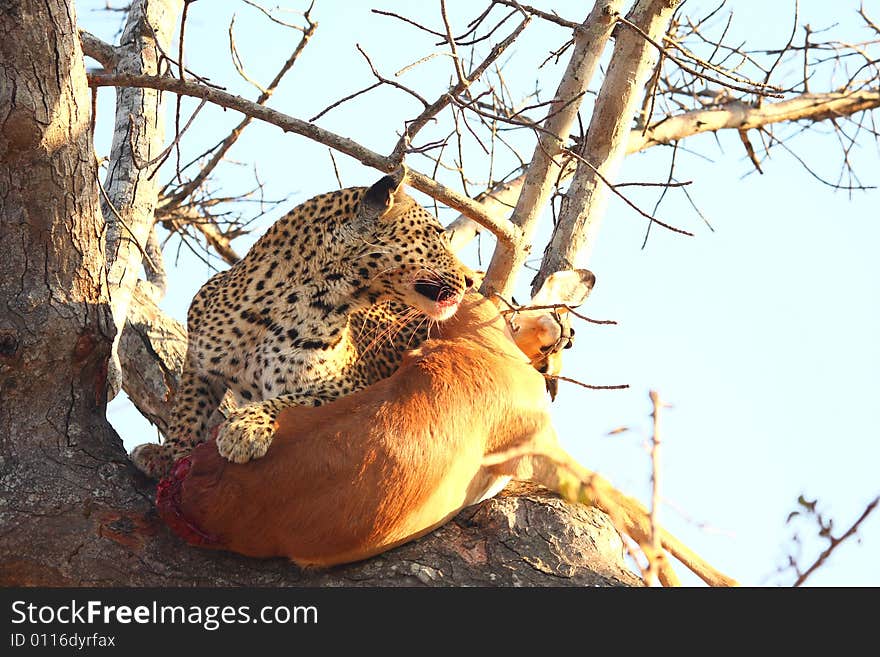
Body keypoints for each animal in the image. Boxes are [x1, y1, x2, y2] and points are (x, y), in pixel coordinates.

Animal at [129, 167, 474, 480]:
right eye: (437, 235)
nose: (471, 280)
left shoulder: (349, 387)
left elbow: (291, 400)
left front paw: (245, 428)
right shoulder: (200, 363)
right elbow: (187, 409)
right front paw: (167, 453)